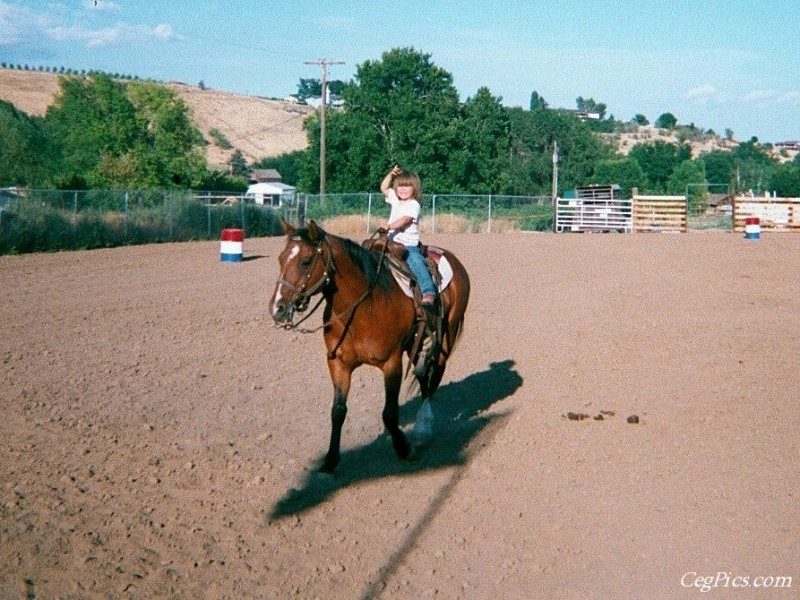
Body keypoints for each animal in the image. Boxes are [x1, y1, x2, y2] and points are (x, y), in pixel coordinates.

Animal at [270, 220, 468, 474]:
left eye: (305, 261)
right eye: (280, 258)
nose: (277, 308)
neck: (364, 306)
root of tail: (452, 259)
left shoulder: (392, 363)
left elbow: (390, 414)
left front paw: (405, 449)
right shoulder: (338, 363)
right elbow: (338, 411)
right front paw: (330, 461)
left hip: (446, 335)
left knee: (435, 376)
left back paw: (424, 426)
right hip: (417, 341)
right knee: (423, 374)